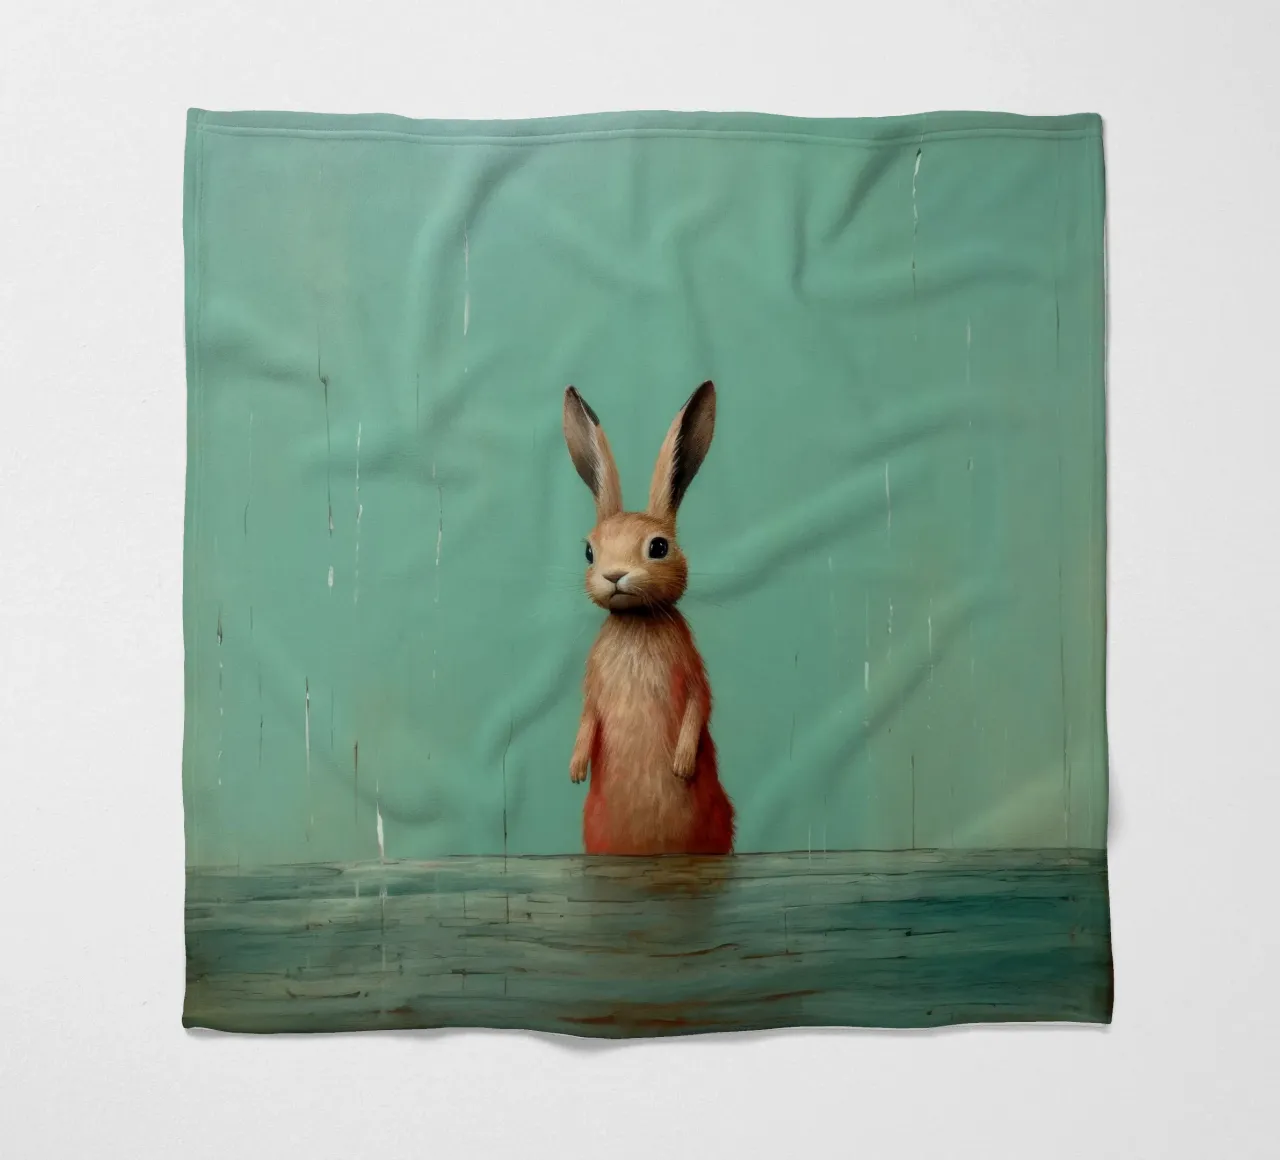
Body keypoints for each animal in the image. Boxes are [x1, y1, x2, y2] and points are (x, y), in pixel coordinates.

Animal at [562, 380, 735, 856]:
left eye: (659, 547)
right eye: (589, 552)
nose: (614, 575)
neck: (636, 619)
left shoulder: (694, 673)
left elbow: (700, 705)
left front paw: (681, 766)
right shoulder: (592, 689)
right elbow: (587, 716)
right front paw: (576, 769)